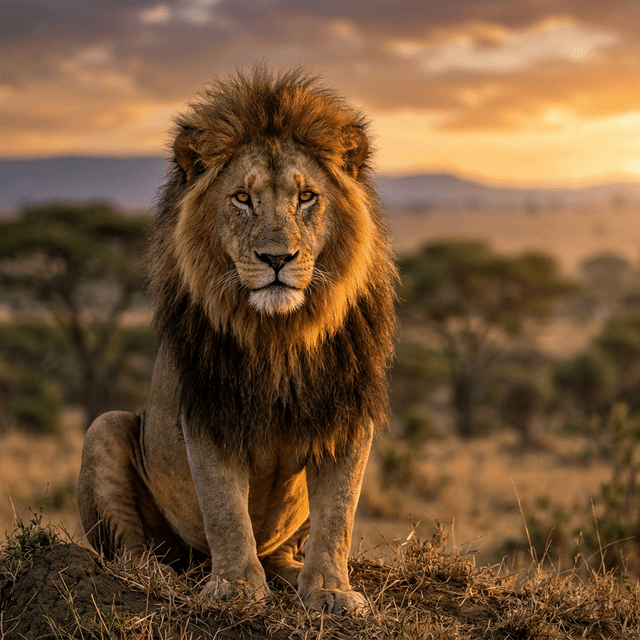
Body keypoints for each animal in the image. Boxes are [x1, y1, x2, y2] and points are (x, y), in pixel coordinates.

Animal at [77, 68, 397, 613]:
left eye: (306, 197)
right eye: (243, 199)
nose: (277, 258)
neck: (280, 335)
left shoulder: (346, 411)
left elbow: (339, 514)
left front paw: (331, 590)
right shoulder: (210, 410)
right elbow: (225, 508)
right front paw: (237, 587)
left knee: (287, 548)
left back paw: (289, 572)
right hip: (105, 430)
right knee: (131, 549)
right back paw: (155, 577)